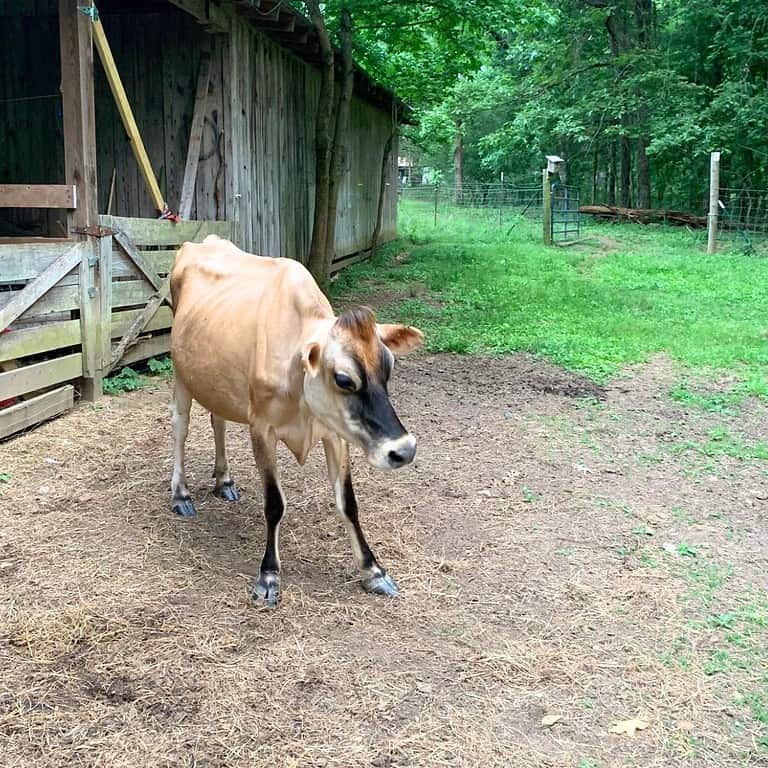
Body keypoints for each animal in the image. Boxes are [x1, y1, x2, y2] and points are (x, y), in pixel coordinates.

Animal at [168, 237, 424, 608]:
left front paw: (373, 571)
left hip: (215, 379)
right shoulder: (261, 428)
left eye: (389, 367)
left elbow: (348, 502)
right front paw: (268, 576)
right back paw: (180, 494)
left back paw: (224, 481)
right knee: (180, 426)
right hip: (181, 373)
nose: (403, 450)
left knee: (218, 420)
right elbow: (275, 503)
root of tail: (199, 242)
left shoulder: (335, 433)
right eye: (344, 379)